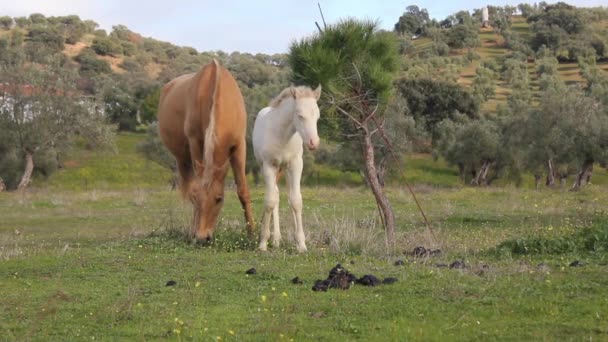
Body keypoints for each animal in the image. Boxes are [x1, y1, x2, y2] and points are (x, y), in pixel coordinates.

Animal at [158, 59, 255, 240]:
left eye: (219, 199)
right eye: (198, 199)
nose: (203, 238)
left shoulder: (239, 145)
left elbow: (243, 190)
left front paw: (252, 233)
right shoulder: (195, 142)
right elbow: (194, 188)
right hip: (182, 159)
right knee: (188, 186)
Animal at [251, 84, 320, 252]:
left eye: (317, 116)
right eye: (300, 115)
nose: (313, 142)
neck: (282, 135)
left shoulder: (295, 165)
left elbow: (296, 201)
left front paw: (301, 245)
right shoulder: (269, 166)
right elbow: (270, 201)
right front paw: (263, 243)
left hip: (285, 170)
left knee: (286, 195)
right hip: (267, 167)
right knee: (275, 195)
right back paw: (275, 239)